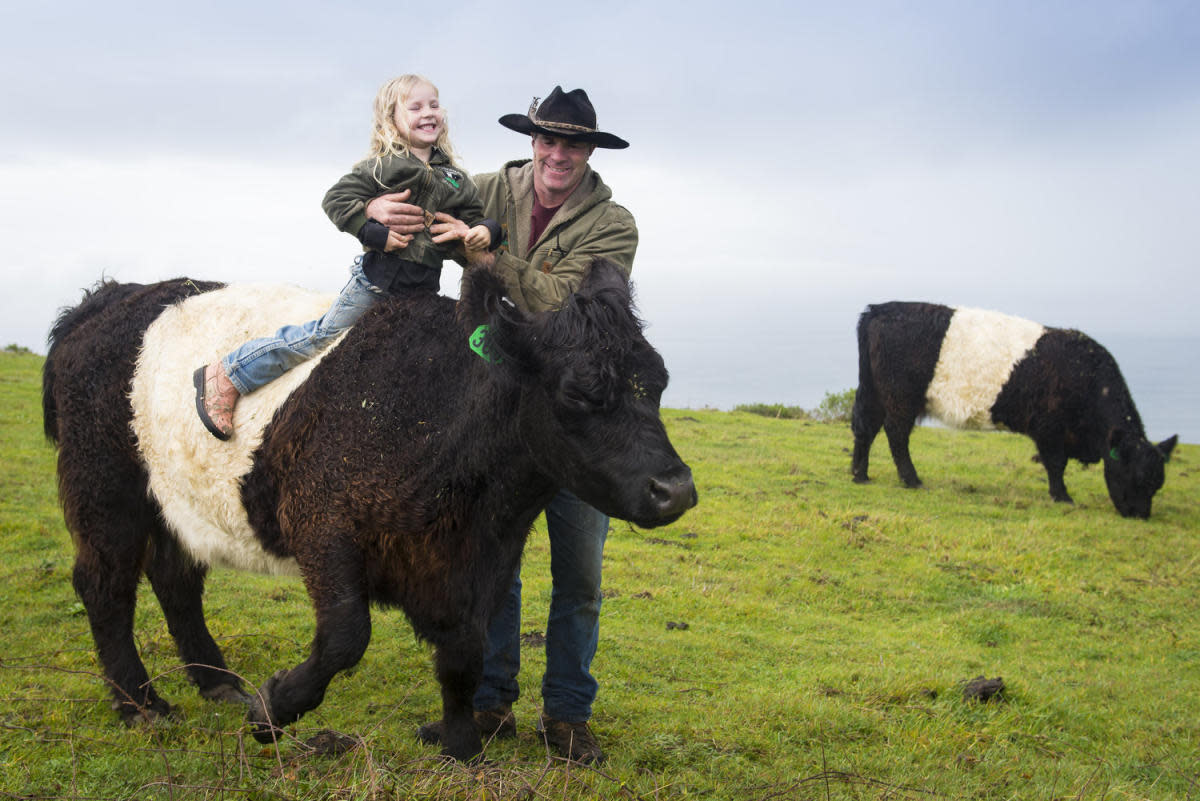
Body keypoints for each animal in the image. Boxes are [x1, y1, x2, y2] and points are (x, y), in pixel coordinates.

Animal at [42, 260, 696, 762]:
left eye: (660, 382)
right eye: (578, 393)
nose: (677, 489)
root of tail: (111, 297)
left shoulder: (481, 557)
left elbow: (465, 652)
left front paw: (460, 743)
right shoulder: (321, 523)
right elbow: (344, 637)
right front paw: (273, 710)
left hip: (174, 502)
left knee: (176, 580)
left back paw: (218, 683)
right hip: (105, 488)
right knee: (105, 584)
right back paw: (141, 704)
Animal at [849, 302, 1176, 520]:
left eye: (1158, 483)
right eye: (1137, 477)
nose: (1140, 515)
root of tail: (879, 309)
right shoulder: (1049, 428)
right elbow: (1056, 464)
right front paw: (1062, 497)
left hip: (875, 391)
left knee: (865, 426)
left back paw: (860, 475)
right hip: (901, 396)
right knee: (896, 434)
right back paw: (911, 479)